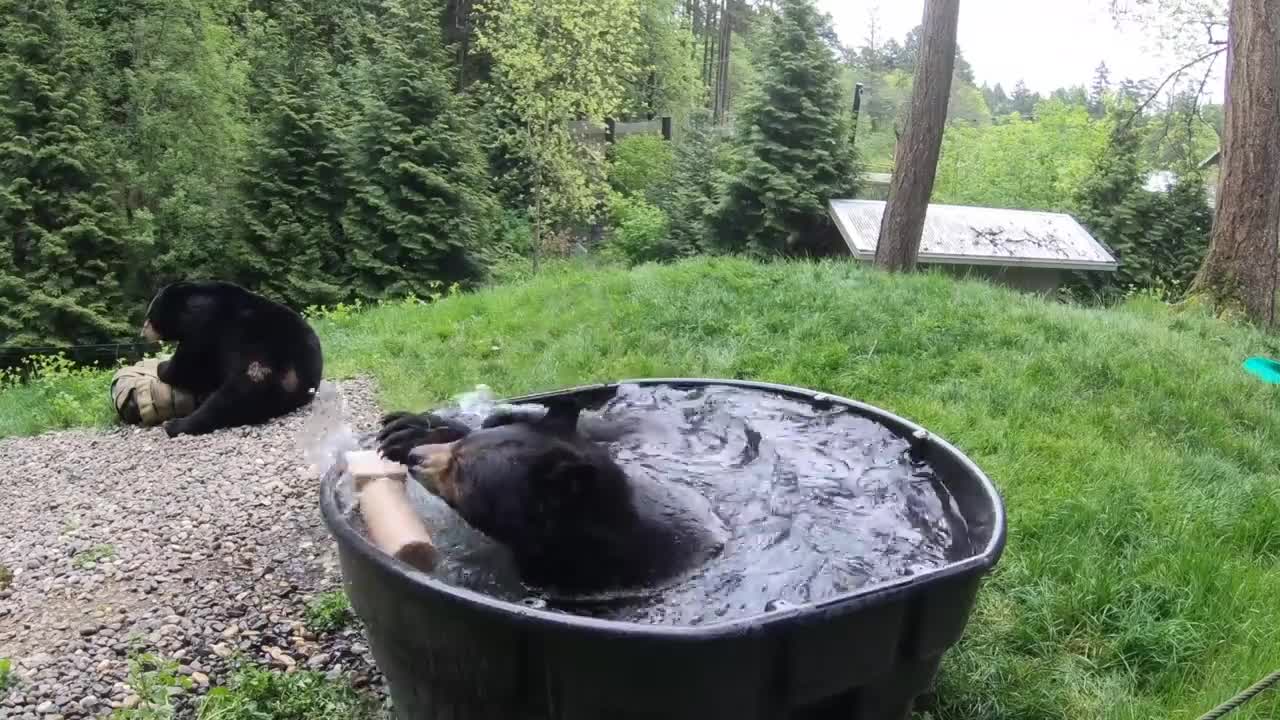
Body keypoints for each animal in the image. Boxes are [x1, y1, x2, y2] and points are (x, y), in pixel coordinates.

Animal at [141, 280, 325, 438]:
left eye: (150, 315)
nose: (143, 333)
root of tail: (298, 376)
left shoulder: (204, 328)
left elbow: (191, 366)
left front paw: (161, 367)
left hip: (258, 366)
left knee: (229, 400)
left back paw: (175, 425)